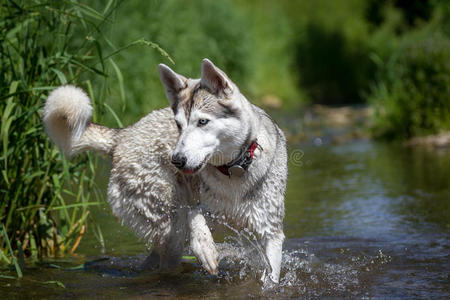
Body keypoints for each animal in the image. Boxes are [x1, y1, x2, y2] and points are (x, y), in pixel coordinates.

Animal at [43, 59, 288, 284]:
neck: (233, 170)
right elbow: (193, 213)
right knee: (170, 243)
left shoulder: (271, 232)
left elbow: (271, 275)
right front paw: (205, 249)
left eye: (202, 122)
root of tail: (123, 135)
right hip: (168, 225)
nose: (176, 160)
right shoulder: (196, 204)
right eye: (178, 125)